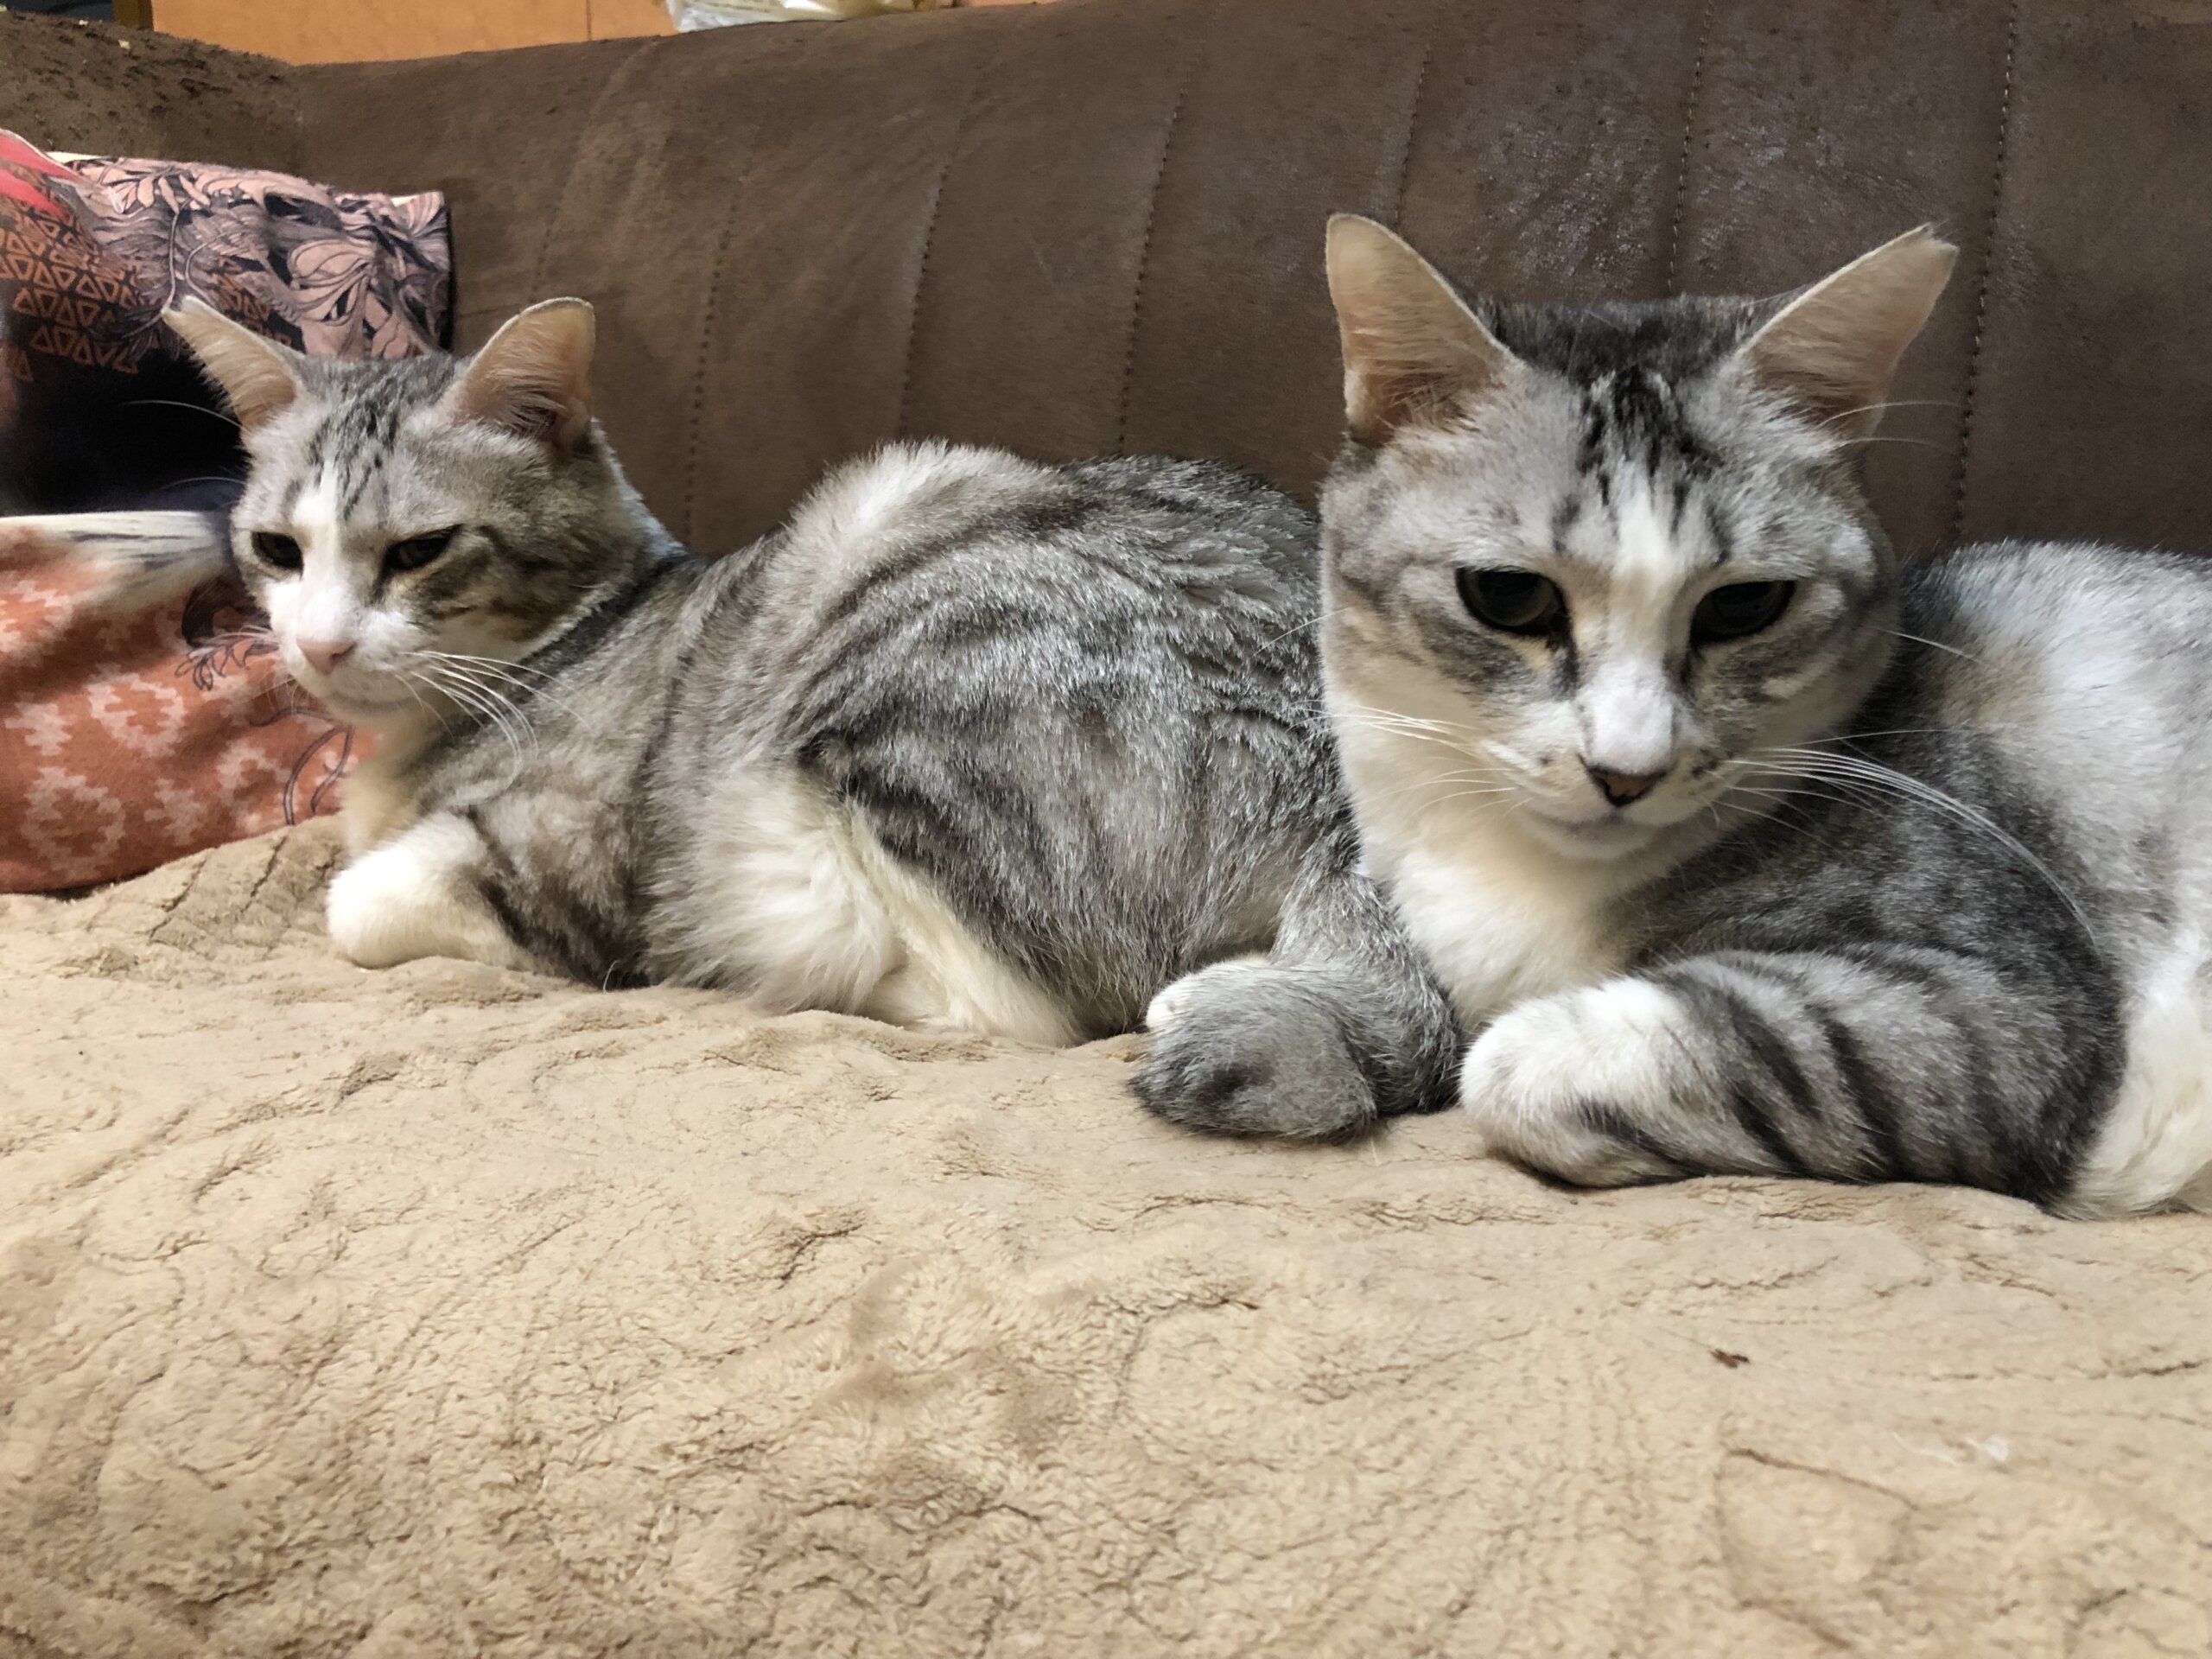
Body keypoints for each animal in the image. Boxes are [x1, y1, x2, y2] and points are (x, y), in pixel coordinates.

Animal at [12, 296, 1457, 1130]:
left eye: (418, 552)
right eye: (276, 547)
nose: (314, 645)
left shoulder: (564, 865)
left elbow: (361, 900)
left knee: (1033, 995)